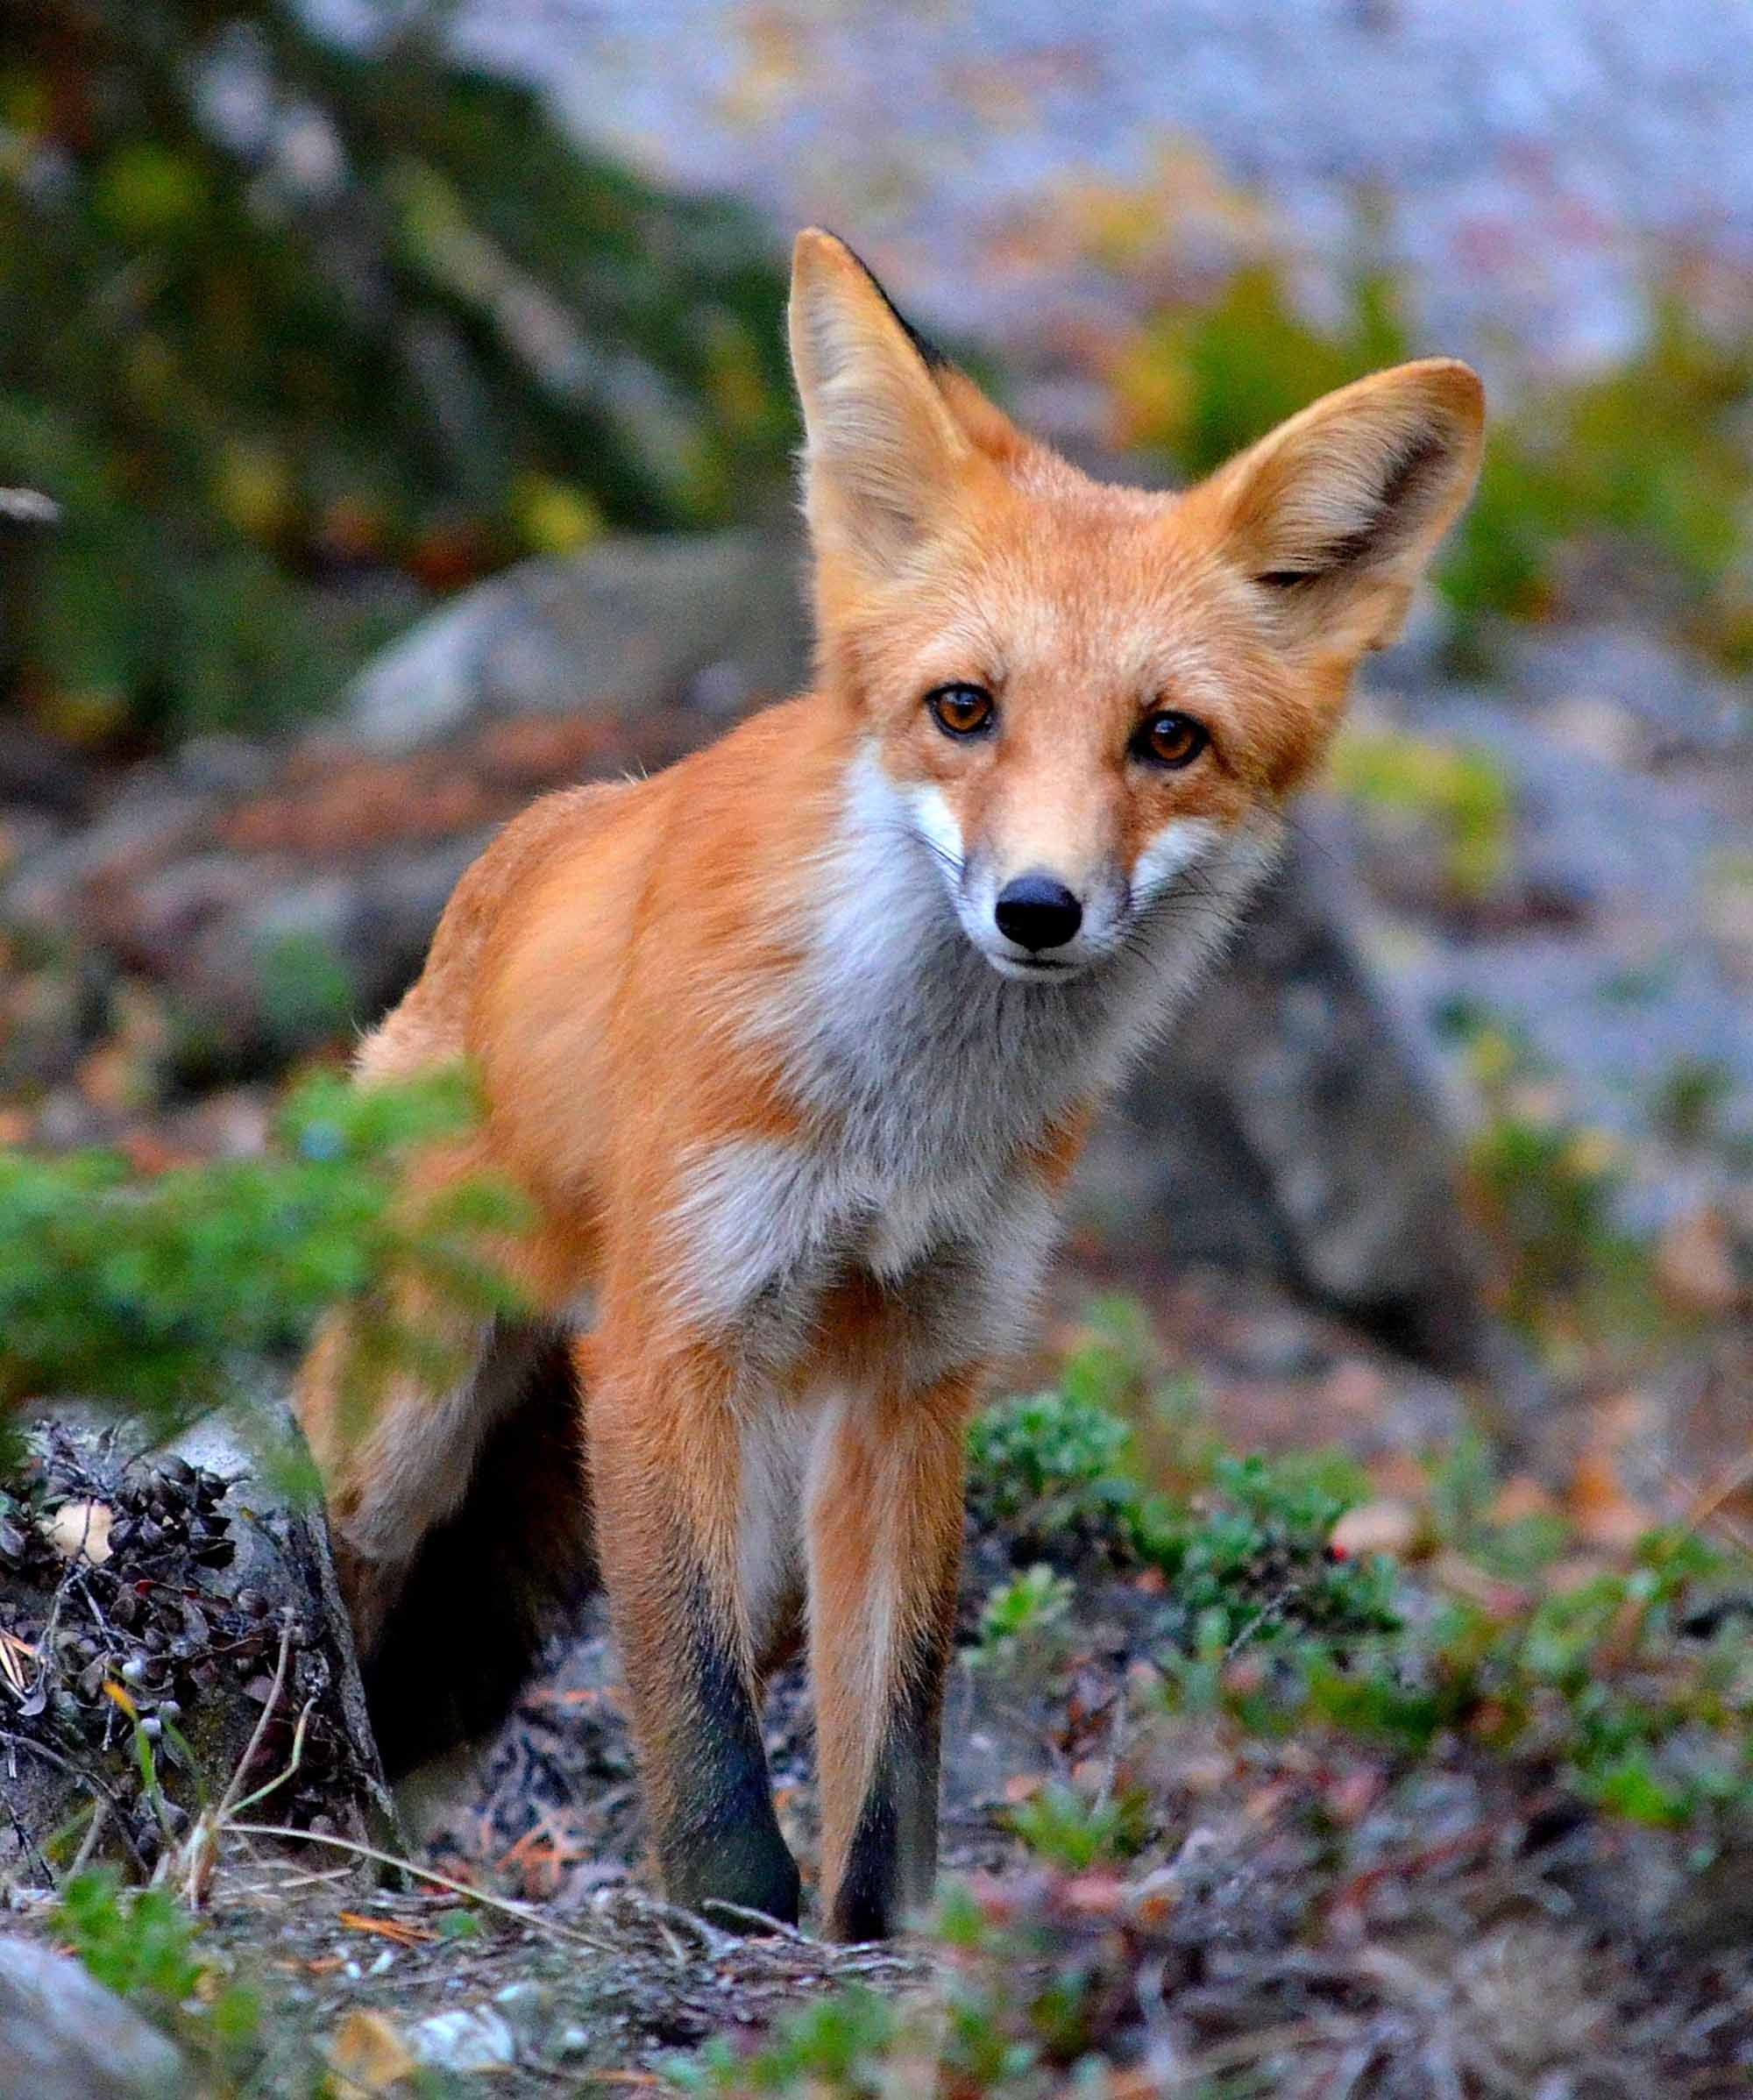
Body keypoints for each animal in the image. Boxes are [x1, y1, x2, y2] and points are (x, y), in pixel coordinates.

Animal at [295, 228, 1484, 1941]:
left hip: (765, 1502)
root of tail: (519, 849)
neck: (906, 1120)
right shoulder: (667, 1341)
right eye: (963, 709)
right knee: (347, 1565)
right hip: (418, 1416)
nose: (1039, 910)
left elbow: (893, 1746)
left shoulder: (923, 1372)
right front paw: (733, 1923)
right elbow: (704, 1731)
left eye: (1169, 739)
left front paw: (870, 1938)